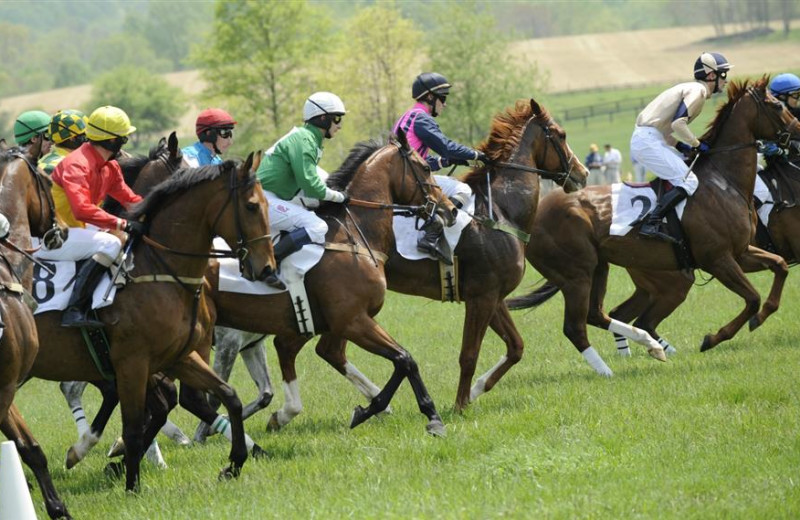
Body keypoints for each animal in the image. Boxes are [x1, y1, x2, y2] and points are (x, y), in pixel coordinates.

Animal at [25, 155, 276, 492]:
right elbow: (133, 426)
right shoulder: (133, 363)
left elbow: (228, 396)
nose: (266, 269)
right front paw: (132, 485)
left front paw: (234, 463)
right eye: (251, 206)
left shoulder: (179, 356)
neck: (161, 271)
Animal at [506, 78, 800, 374]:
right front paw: (714, 337)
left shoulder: (741, 252)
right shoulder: (718, 259)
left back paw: (651, 348)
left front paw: (761, 316)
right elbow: (752, 299)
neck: (723, 182)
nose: (798, 131)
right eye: (777, 106)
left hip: (602, 268)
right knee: (582, 325)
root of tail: (532, 216)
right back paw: (616, 366)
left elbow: (779, 267)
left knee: (604, 315)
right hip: (581, 275)